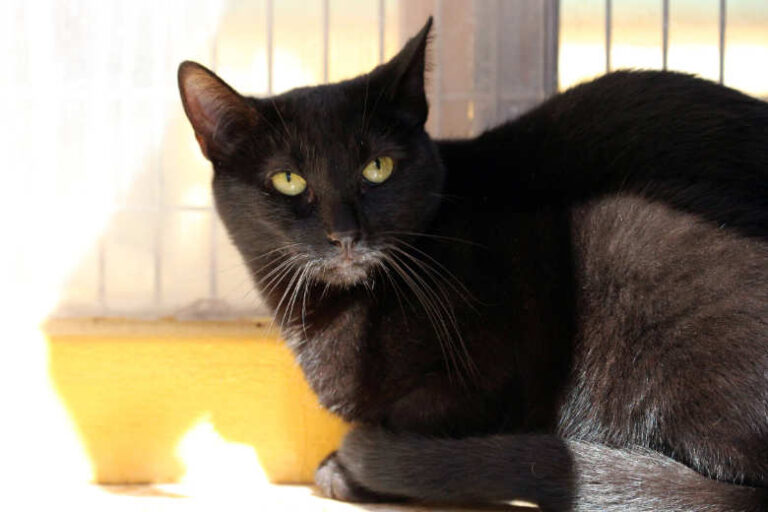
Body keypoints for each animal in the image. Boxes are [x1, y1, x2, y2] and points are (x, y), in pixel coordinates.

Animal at [178, 17, 768, 511]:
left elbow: (414, 418)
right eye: (288, 180)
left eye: (377, 168)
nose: (344, 233)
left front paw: (346, 470)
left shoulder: (494, 368)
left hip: (628, 238)